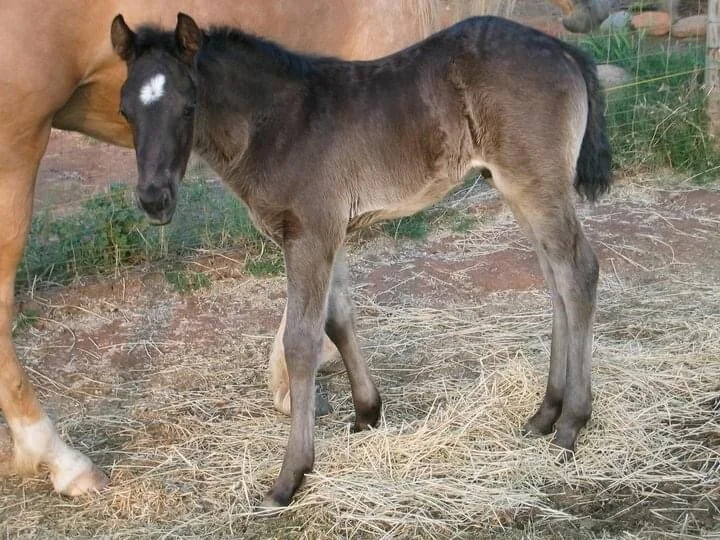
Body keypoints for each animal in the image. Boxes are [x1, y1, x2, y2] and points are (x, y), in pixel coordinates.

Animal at [111, 11, 611, 506]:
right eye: (125, 112)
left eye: (188, 107)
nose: (154, 200)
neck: (277, 124)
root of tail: (563, 48)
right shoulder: (329, 234)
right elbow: (339, 320)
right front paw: (368, 412)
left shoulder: (309, 235)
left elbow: (301, 342)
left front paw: (290, 475)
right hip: (514, 188)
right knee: (556, 282)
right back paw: (544, 414)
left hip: (535, 185)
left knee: (578, 273)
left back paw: (571, 424)